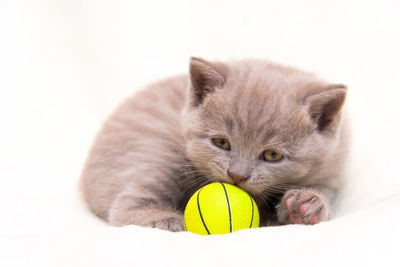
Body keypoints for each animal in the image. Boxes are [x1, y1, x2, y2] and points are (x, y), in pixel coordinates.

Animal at [79, 57, 348, 232]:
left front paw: (307, 204)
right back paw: (169, 220)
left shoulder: (333, 167)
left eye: (272, 155)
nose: (237, 174)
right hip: (162, 151)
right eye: (221, 142)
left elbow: (324, 189)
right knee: (125, 207)